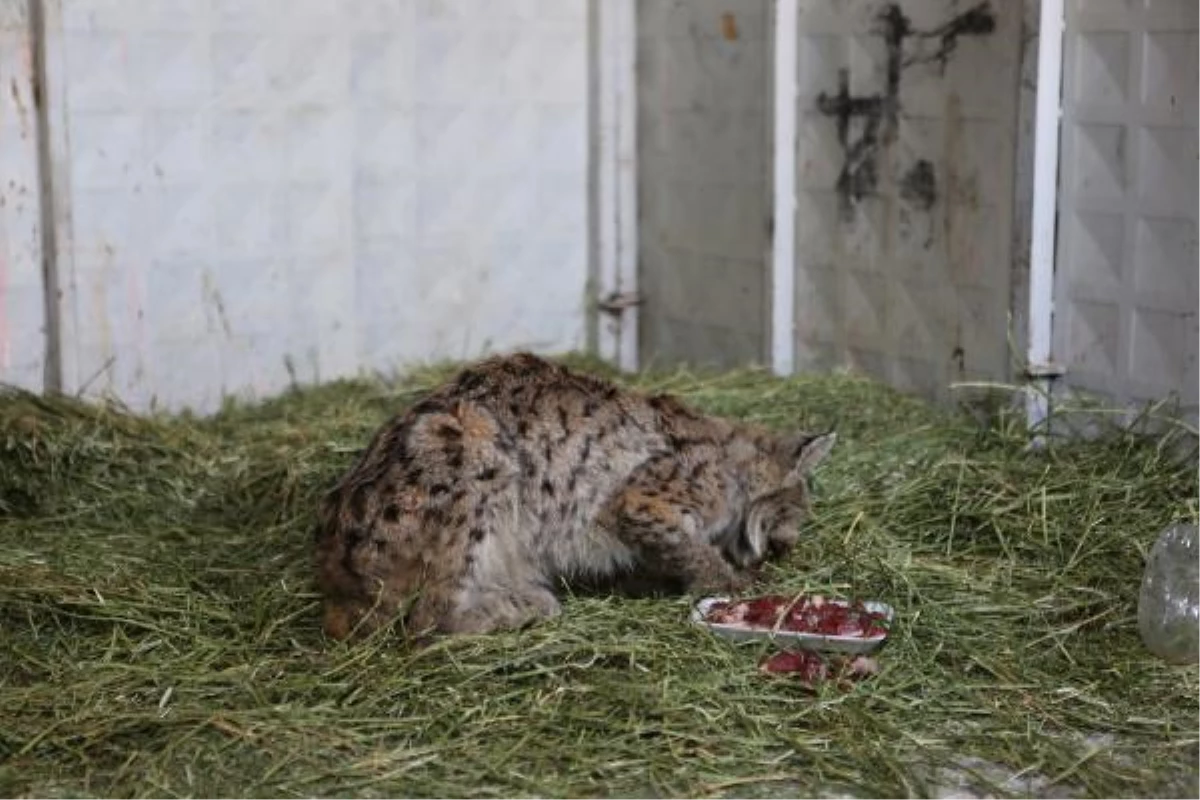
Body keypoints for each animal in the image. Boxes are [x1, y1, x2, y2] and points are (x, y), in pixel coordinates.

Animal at [314, 352, 830, 642]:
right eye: (796, 509)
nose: (790, 544)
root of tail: (334, 576)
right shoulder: (637, 502)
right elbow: (694, 550)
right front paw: (736, 586)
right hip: (470, 443)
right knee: (425, 621)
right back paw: (522, 605)